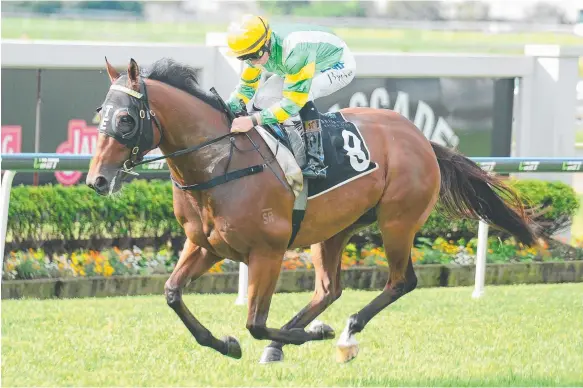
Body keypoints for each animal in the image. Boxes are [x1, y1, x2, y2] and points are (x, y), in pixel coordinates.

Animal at [86, 56, 540, 364]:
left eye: (125, 119)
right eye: (99, 114)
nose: (97, 180)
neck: (219, 163)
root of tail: (421, 137)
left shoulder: (267, 252)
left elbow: (254, 322)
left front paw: (311, 336)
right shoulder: (205, 245)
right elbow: (172, 294)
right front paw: (226, 345)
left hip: (398, 222)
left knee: (400, 281)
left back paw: (344, 334)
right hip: (334, 229)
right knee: (329, 289)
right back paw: (287, 339)